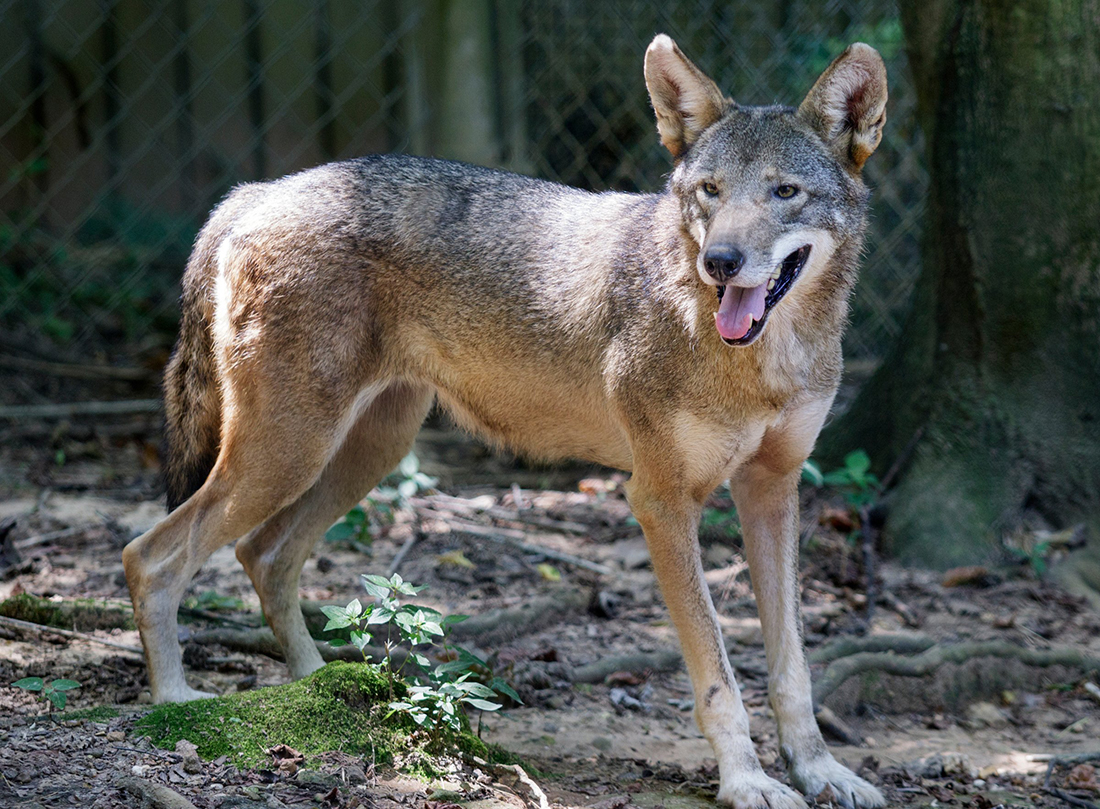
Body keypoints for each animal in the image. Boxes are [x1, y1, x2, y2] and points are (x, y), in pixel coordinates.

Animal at [123, 35, 888, 808]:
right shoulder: (662, 500)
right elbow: (718, 675)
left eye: (784, 192)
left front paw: (819, 769)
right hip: (290, 452)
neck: (764, 358)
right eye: (710, 191)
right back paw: (175, 700)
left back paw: (325, 689)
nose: (721, 261)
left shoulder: (773, 490)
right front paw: (748, 780)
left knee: (264, 554)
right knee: (151, 556)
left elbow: (792, 667)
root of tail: (257, 191)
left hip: (363, 452)